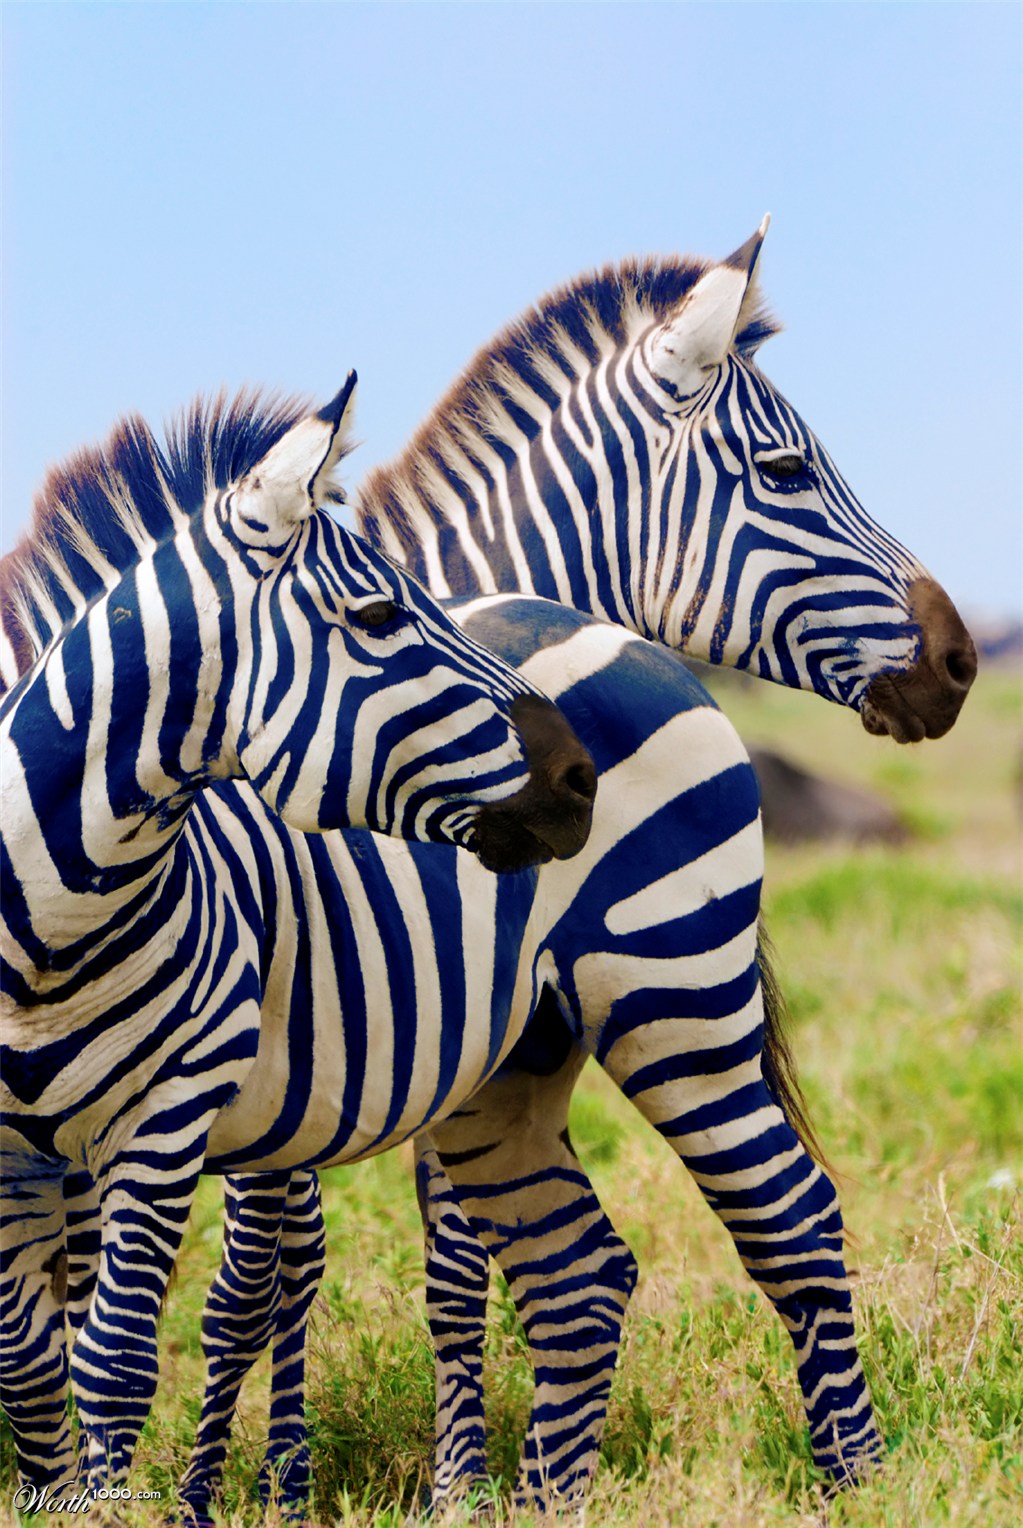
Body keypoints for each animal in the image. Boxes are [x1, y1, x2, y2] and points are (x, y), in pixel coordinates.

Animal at [0, 381, 595, 1495]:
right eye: (379, 616)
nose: (583, 777)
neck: (43, 932)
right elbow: (33, 1363)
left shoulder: (169, 1112)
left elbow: (118, 1353)